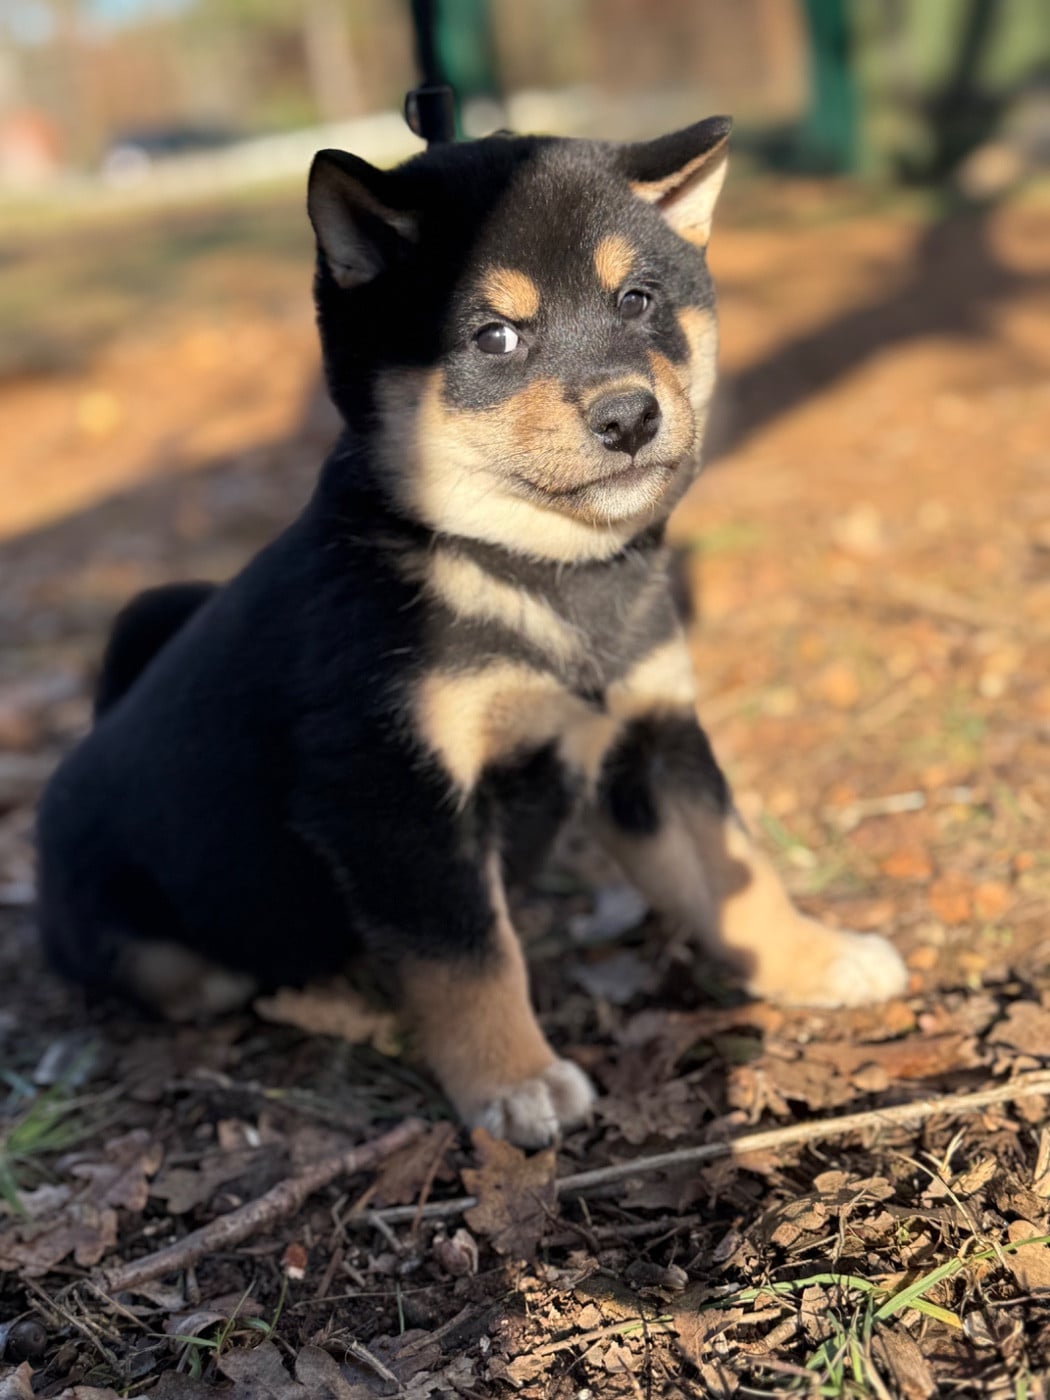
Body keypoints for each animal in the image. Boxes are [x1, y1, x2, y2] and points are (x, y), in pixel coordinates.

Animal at [36, 117, 907, 1148]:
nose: (630, 415)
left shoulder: (650, 741)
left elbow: (734, 869)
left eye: (638, 299)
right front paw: (514, 1081)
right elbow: (469, 956)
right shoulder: (394, 797)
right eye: (494, 335)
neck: (538, 572)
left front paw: (813, 957)